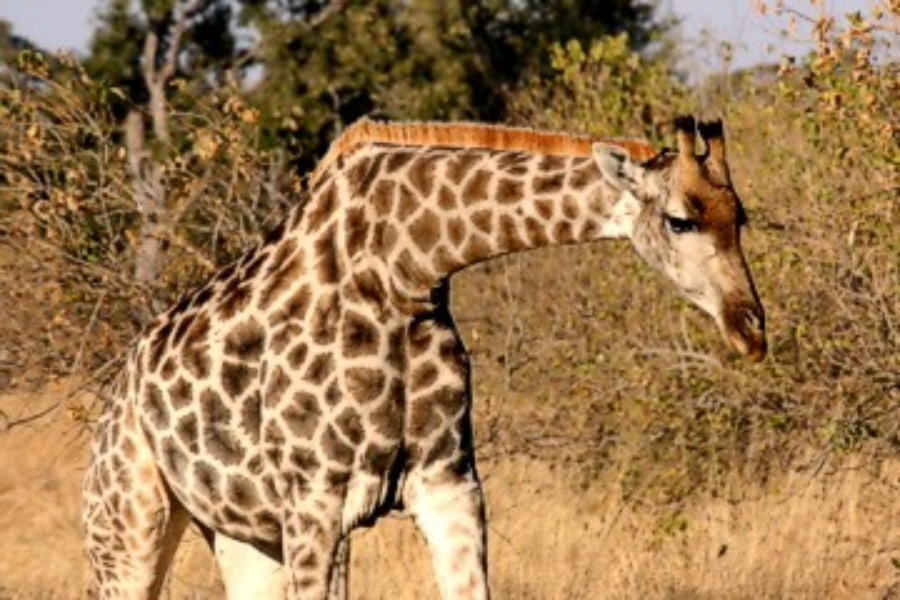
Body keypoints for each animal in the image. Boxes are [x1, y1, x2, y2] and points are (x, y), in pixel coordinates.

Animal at [82, 115, 768, 596]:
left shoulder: (449, 484)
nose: (751, 330)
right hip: (126, 526)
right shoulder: (312, 500)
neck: (403, 270)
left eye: (741, 218)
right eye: (679, 220)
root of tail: (118, 391)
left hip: (242, 536)